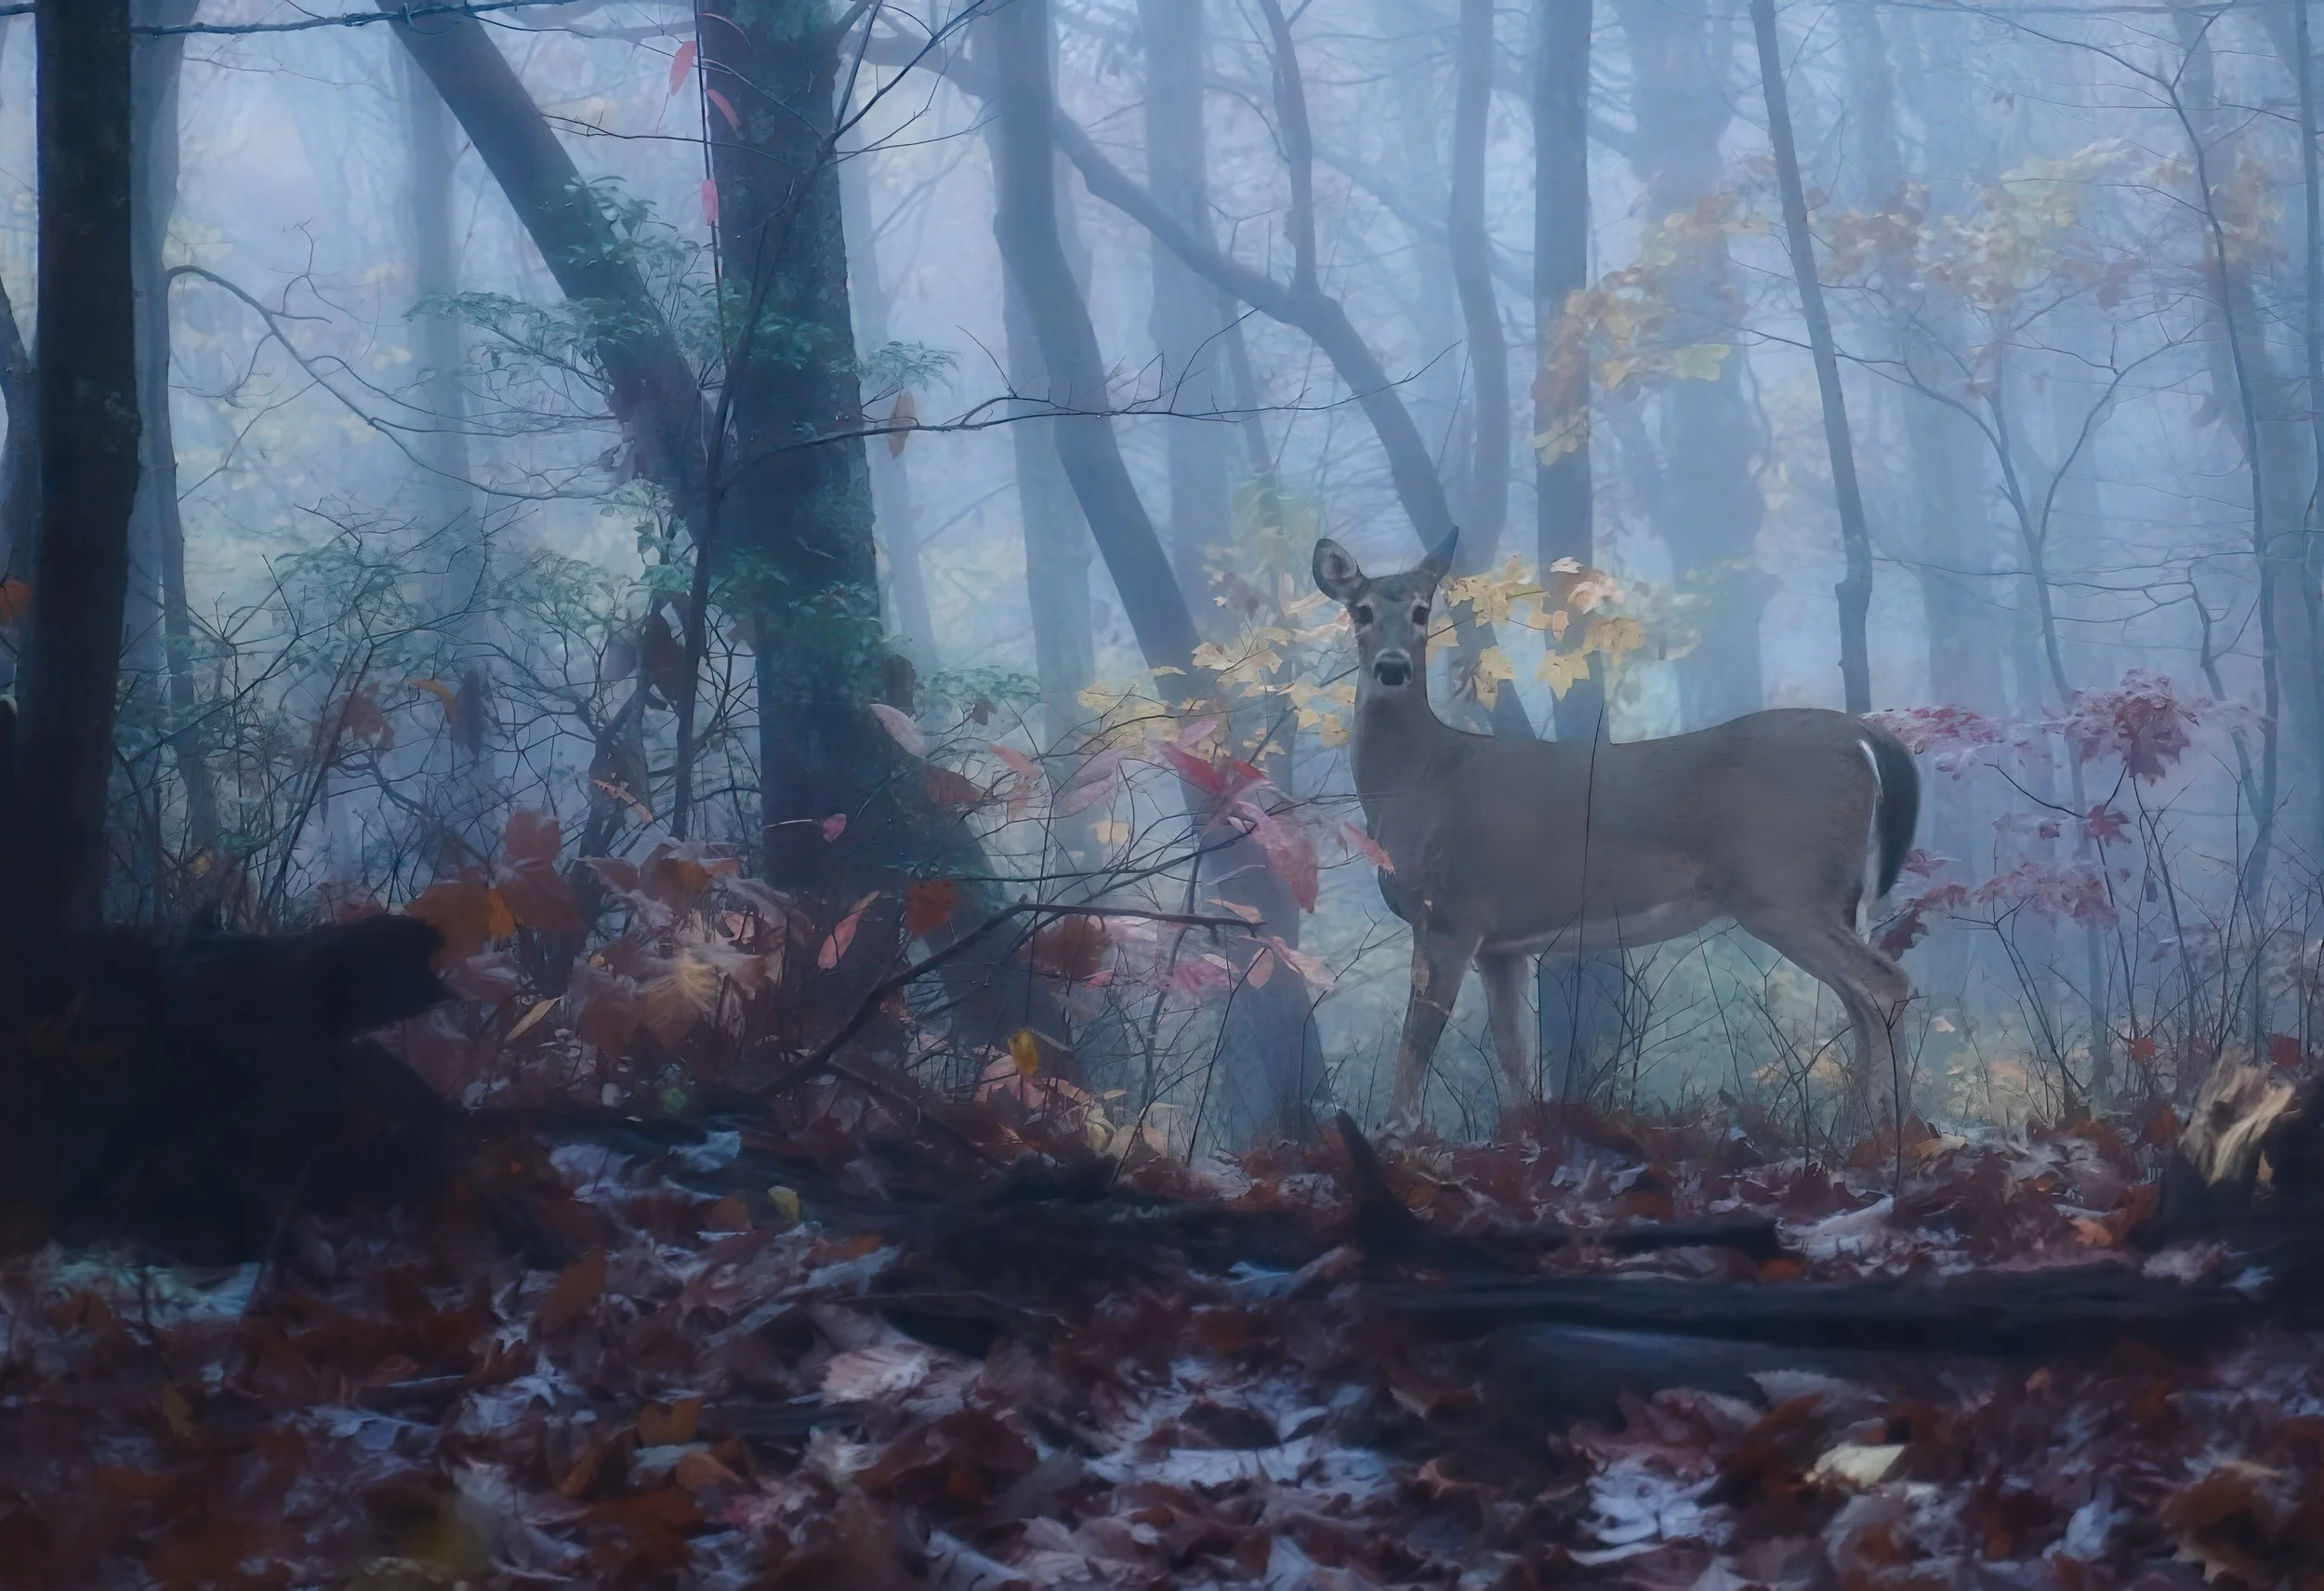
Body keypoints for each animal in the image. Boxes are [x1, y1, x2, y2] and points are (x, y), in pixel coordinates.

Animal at [1312, 533, 1920, 1130]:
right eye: (1362, 611)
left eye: (1421, 611)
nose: (1393, 667)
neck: (1420, 782)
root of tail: (1866, 738)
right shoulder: (1502, 945)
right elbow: (1516, 1060)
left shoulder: (1448, 914)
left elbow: (1416, 1045)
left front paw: (1395, 1138)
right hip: (1825, 899)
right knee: (1861, 1000)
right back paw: (1868, 1129)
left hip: (1786, 887)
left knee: (1886, 983)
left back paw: (1888, 1134)